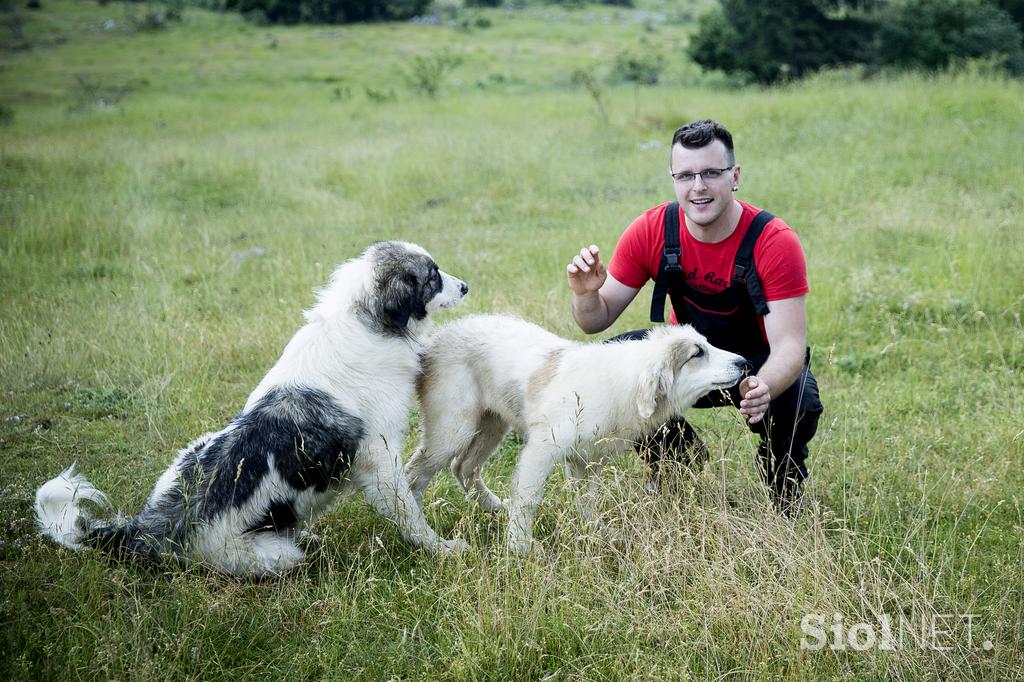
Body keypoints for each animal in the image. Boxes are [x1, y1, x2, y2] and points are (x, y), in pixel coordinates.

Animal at [35, 241, 468, 577]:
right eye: (432, 277)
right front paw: (441, 548)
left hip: (193, 448)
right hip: (272, 555)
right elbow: (410, 512)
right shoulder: (380, 460)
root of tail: (150, 528)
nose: (466, 286)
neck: (366, 321)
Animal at [403, 313, 749, 552]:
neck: (622, 381)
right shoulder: (541, 450)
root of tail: (436, 339)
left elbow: (587, 501)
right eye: (697, 354)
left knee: (464, 466)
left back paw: (494, 506)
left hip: (492, 424)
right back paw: (422, 534)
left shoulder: (587, 460)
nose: (744, 361)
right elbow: (529, 499)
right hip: (454, 428)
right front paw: (520, 547)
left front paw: (600, 533)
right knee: (414, 474)